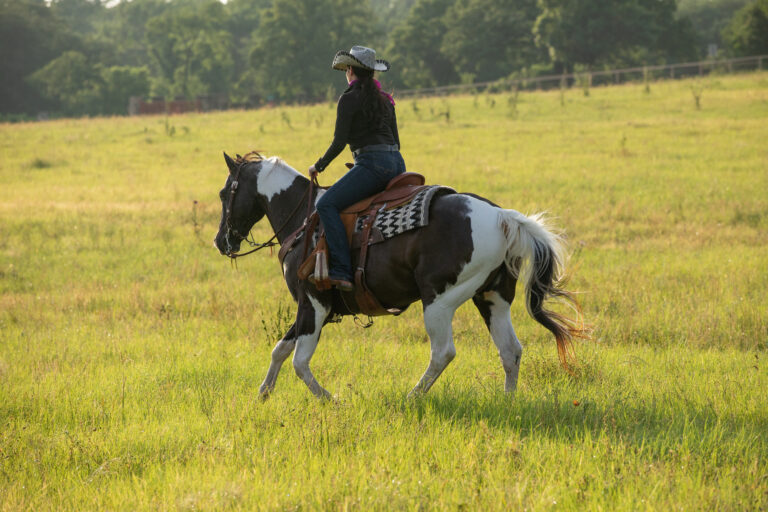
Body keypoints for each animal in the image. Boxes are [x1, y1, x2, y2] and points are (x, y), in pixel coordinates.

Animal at [214, 152, 587, 399]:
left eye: (223, 192)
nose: (221, 241)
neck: (305, 219)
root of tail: (501, 217)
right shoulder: (311, 310)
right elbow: (280, 349)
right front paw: (263, 395)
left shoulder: (313, 304)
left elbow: (299, 361)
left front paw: (331, 400)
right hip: (492, 298)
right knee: (510, 350)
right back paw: (507, 401)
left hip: (439, 301)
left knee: (443, 352)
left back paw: (412, 397)